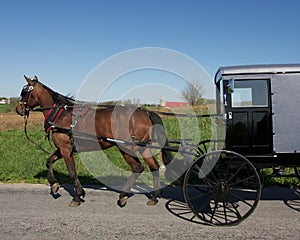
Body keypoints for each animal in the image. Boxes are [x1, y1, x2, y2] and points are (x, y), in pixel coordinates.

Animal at [15, 76, 172, 207]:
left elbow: (72, 172)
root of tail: (145, 112)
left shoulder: (65, 149)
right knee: (154, 166)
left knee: (138, 168)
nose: (18, 109)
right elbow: (49, 161)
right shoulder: (63, 148)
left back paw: (123, 195)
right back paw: (155, 197)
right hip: (143, 147)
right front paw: (54, 185)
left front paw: (77, 196)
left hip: (126, 147)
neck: (61, 114)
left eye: (24, 92)